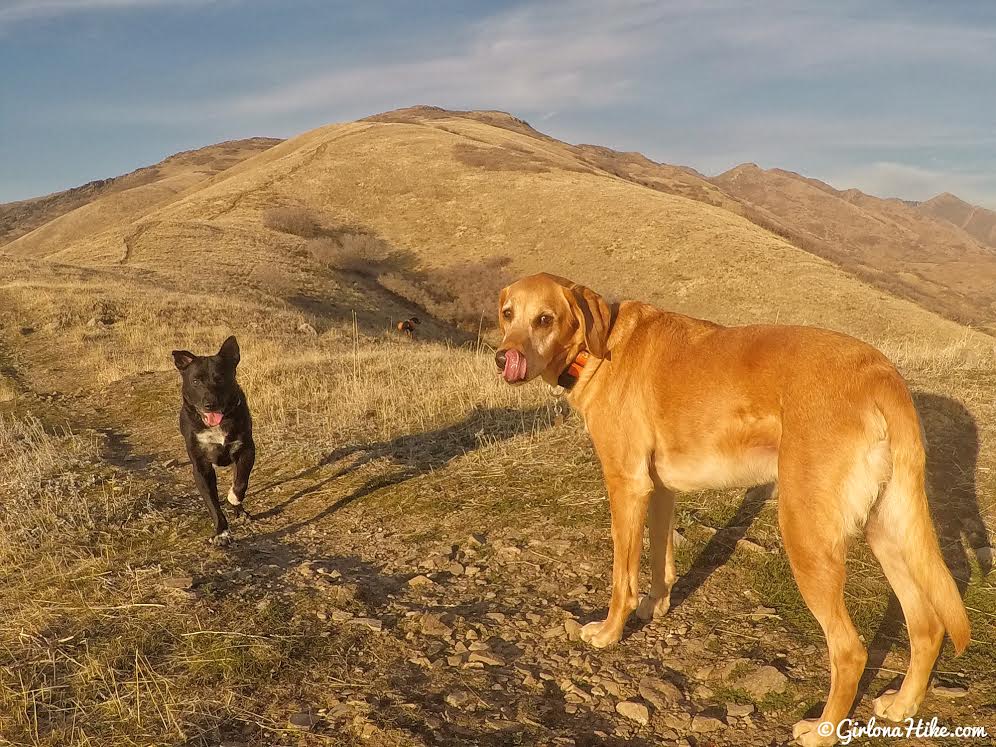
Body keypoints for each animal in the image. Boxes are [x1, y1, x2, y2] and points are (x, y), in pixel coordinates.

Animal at [172, 336, 256, 548]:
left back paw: (240, 511)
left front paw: (234, 499)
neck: (217, 425)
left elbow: (240, 482)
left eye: (220, 378)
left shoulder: (246, 450)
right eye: (195, 381)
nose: (210, 404)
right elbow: (212, 503)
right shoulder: (201, 467)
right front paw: (221, 533)